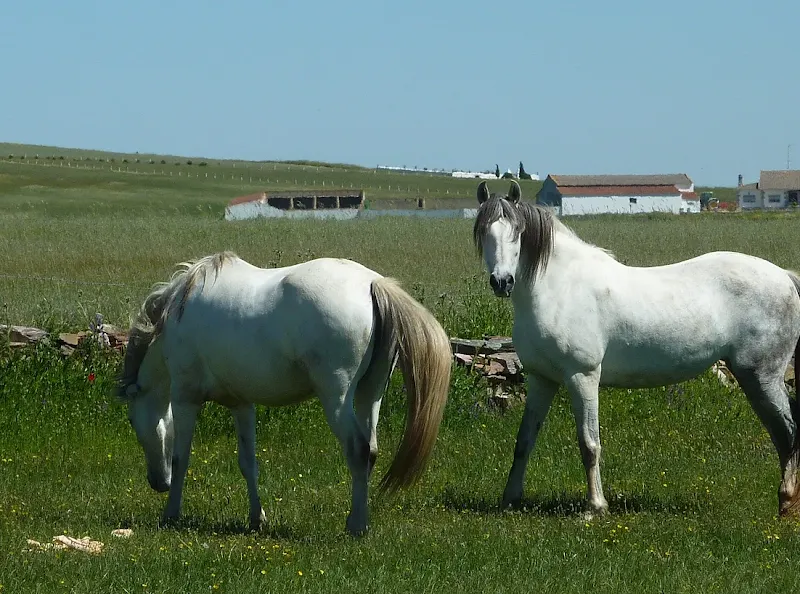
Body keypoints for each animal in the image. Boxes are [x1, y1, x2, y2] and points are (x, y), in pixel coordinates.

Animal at [117, 252, 452, 536]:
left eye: (132, 422)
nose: (157, 483)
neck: (176, 315)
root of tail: (372, 283)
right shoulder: (241, 404)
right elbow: (248, 463)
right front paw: (257, 519)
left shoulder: (185, 399)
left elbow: (180, 458)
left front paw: (170, 514)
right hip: (370, 395)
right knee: (370, 450)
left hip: (337, 399)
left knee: (357, 449)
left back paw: (355, 526)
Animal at [473, 180, 800, 517]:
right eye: (483, 230)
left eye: (517, 231)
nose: (502, 281)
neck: (560, 288)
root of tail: (784, 277)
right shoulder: (542, 380)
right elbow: (524, 441)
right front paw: (510, 499)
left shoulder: (582, 377)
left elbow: (589, 444)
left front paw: (595, 507)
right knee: (782, 435)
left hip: (761, 376)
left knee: (789, 432)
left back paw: (787, 501)